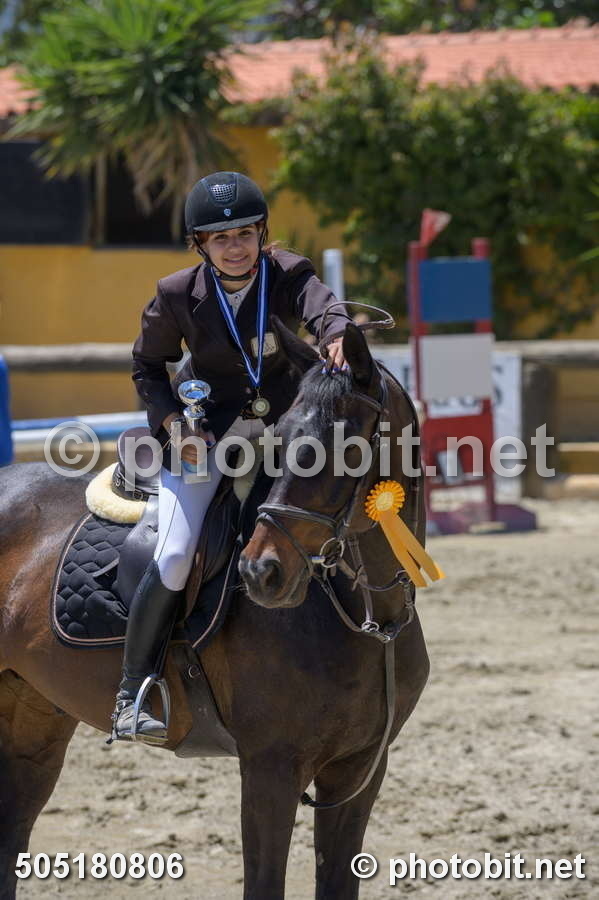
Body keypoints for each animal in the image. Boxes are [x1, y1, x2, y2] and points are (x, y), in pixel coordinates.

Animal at [0, 321, 429, 900]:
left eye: (347, 444)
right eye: (282, 438)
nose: (260, 572)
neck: (364, 617)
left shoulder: (360, 770)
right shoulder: (271, 768)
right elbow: (263, 882)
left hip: (34, 715)